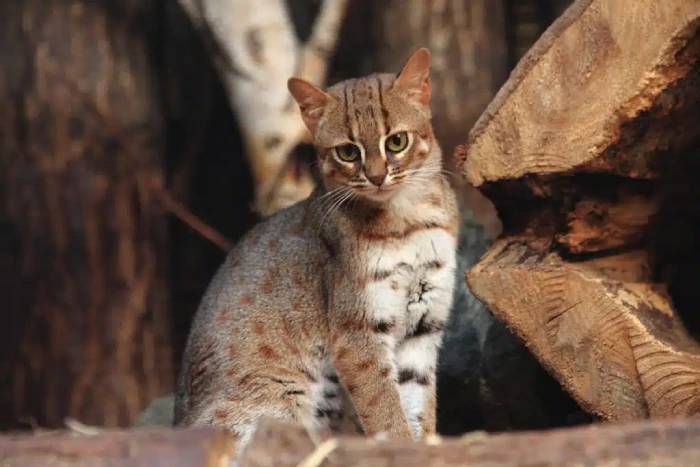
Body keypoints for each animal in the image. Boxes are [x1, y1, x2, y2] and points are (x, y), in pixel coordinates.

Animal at [174, 47, 460, 458]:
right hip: (283, 395)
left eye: (396, 142)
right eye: (347, 152)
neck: (410, 220)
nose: (377, 177)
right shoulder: (356, 336)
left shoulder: (423, 326)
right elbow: (386, 411)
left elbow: (417, 406)